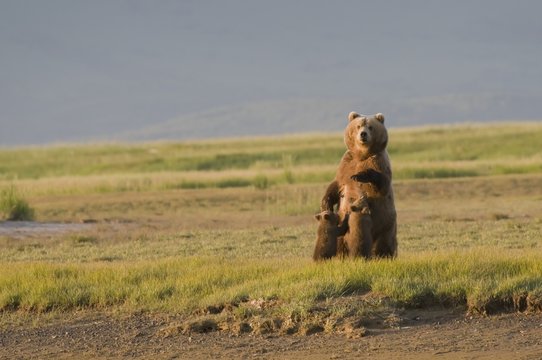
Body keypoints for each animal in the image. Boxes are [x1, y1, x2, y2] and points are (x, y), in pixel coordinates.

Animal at [320, 111, 398, 258]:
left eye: (370, 127)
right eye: (358, 126)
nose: (363, 134)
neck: (362, 154)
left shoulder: (379, 162)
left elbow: (382, 185)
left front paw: (360, 176)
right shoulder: (346, 165)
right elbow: (335, 186)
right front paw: (326, 204)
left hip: (385, 222)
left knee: (383, 242)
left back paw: (382, 255)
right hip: (341, 223)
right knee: (339, 240)